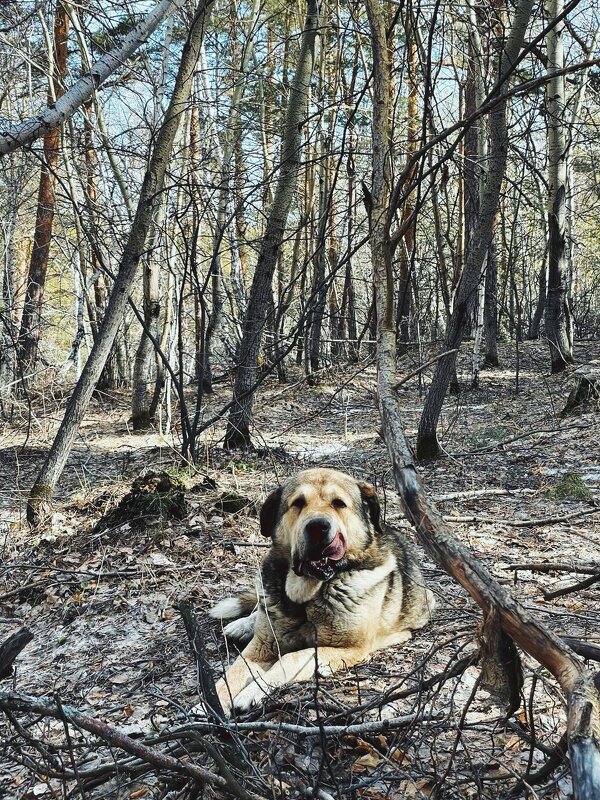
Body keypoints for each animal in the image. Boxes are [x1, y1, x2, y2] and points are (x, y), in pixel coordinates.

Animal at [209, 466, 434, 716]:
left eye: (339, 503)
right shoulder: (261, 647)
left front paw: (251, 692)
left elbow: (292, 657)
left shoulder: (349, 648)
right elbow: (232, 673)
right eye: (298, 503)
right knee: (260, 607)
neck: (308, 596)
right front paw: (210, 702)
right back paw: (243, 624)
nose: (317, 527)